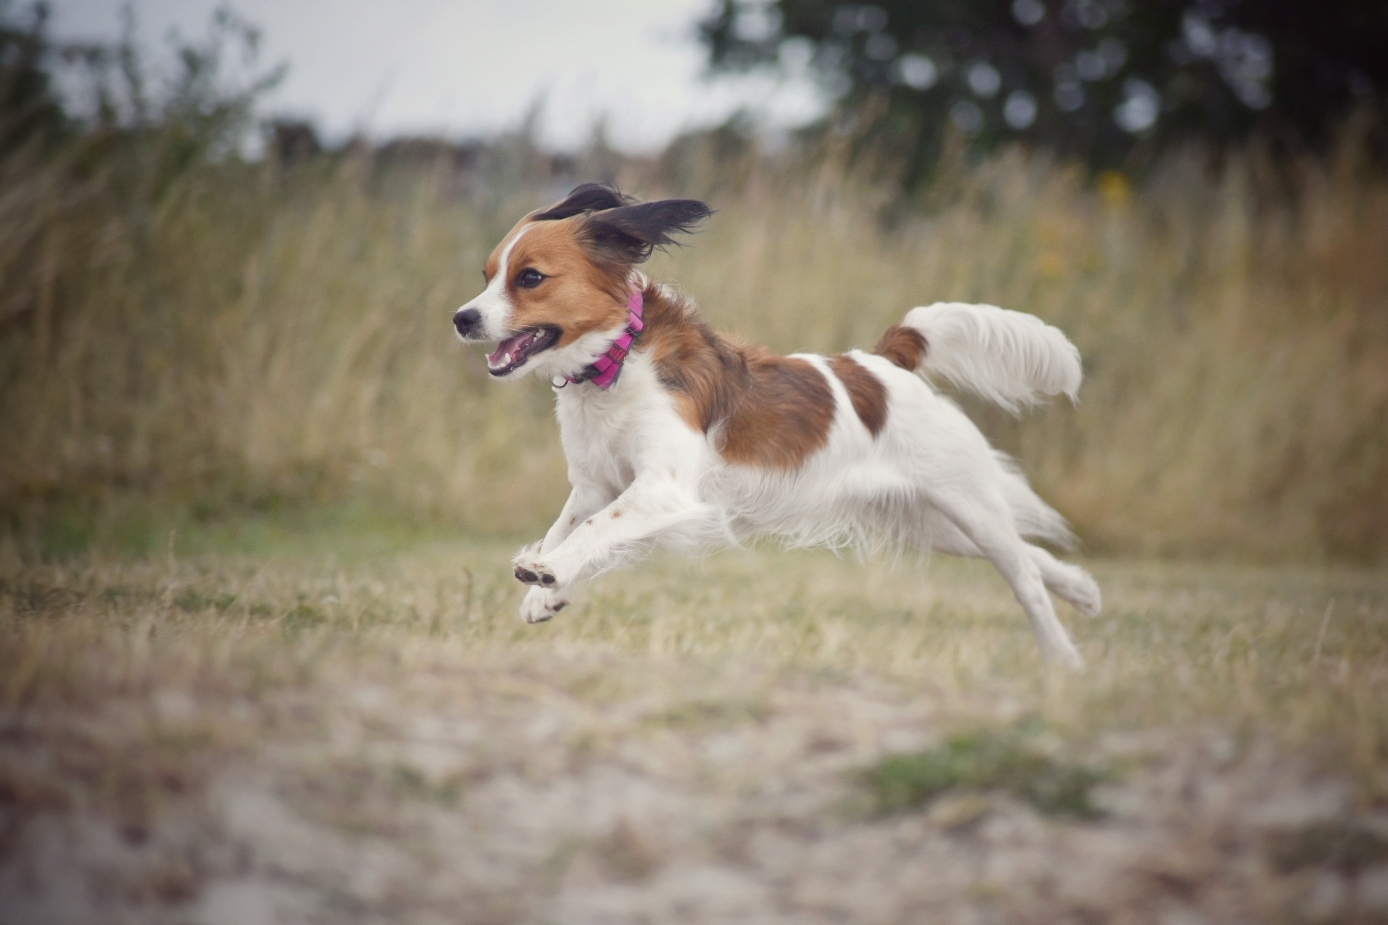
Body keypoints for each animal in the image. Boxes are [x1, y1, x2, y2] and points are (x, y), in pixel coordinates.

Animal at [458, 183, 1104, 666]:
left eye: (530, 278)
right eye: (487, 275)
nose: (462, 318)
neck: (616, 363)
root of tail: (887, 359)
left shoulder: (661, 488)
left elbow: (594, 531)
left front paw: (548, 573)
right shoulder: (597, 482)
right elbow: (568, 526)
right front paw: (546, 592)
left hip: (963, 501)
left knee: (1023, 576)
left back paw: (1063, 661)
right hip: (924, 520)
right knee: (1028, 555)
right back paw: (1082, 589)